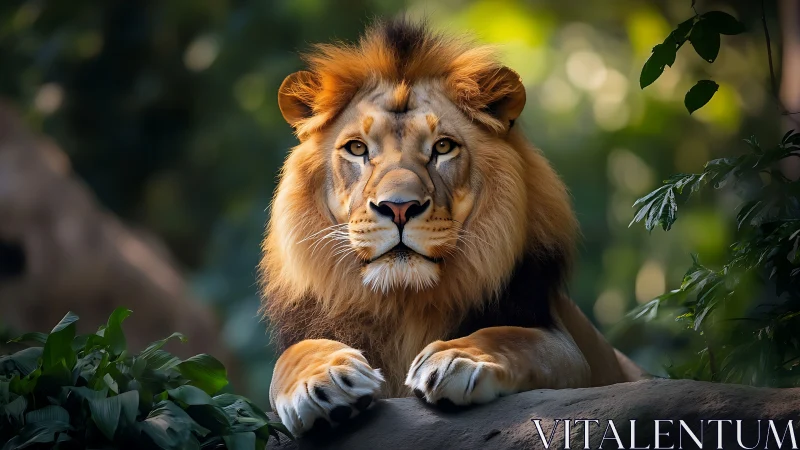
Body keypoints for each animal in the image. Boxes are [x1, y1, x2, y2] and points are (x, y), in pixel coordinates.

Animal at [260, 18, 644, 436]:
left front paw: (456, 358)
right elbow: (289, 358)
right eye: (357, 149)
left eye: (443, 147)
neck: (404, 304)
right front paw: (323, 378)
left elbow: (510, 337)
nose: (399, 208)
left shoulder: (565, 345)